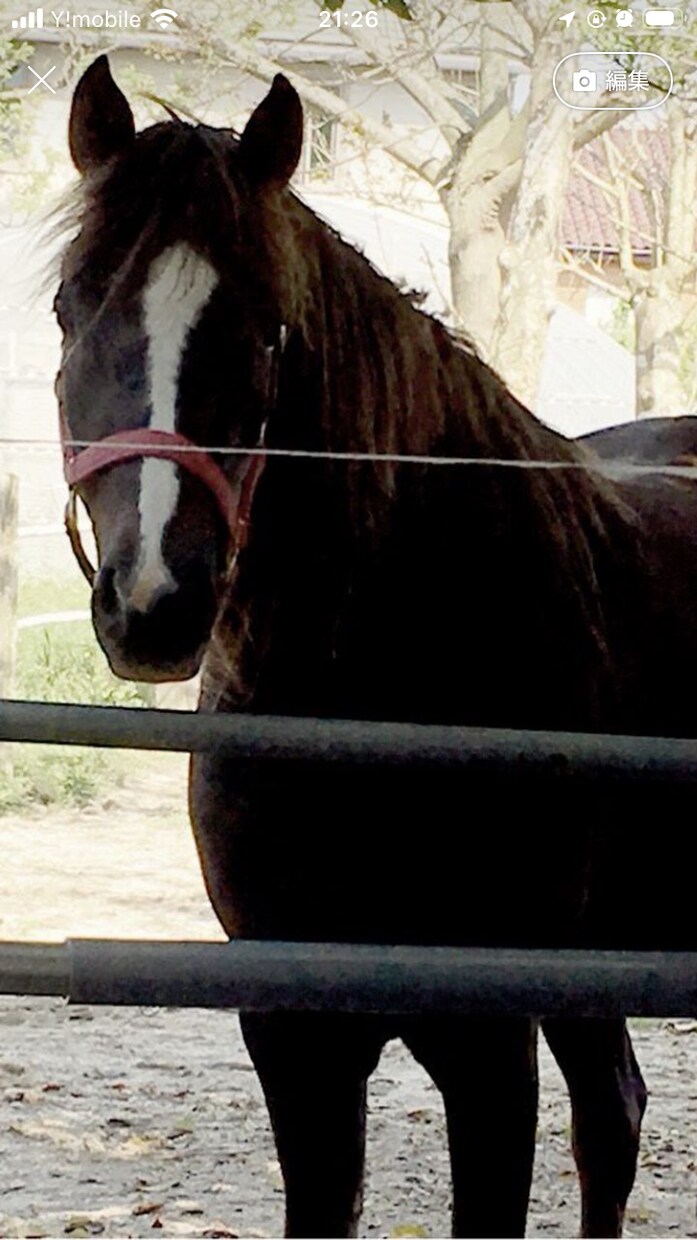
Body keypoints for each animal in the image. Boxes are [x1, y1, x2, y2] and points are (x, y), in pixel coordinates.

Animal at [55, 55, 697, 1238]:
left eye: (265, 329)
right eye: (71, 306)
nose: (156, 601)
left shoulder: (485, 1046)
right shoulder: (295, 1036)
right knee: (612, 1115)